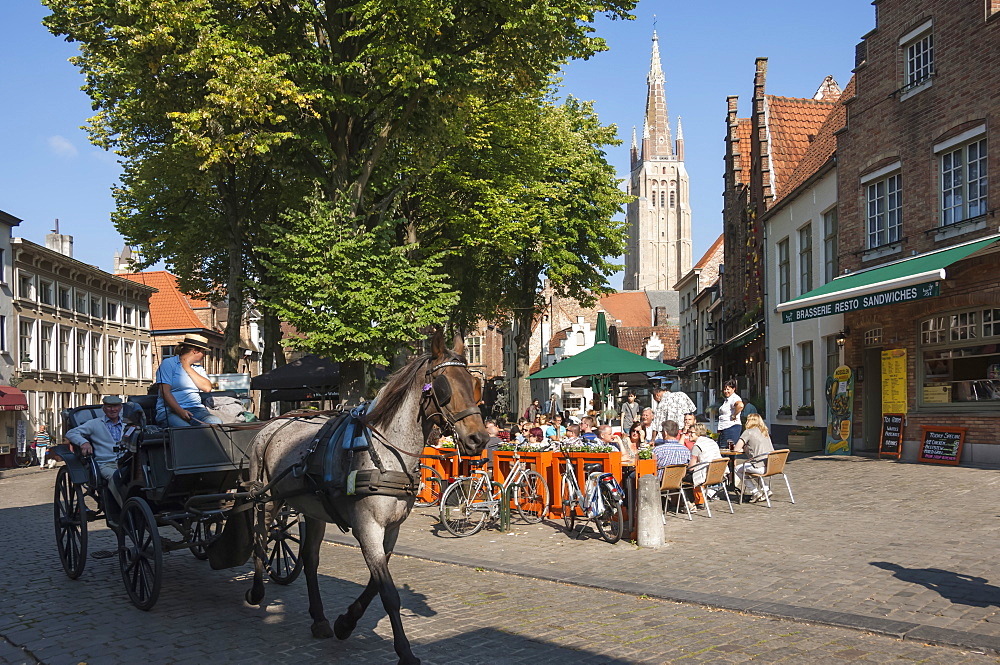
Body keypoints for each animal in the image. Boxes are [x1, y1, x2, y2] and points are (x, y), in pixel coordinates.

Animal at [246, 332, 488, 664]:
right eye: (445, 386)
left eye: (473, 383)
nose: (479, 438)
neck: (388, 453)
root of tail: (272, 424)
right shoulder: (367, 526)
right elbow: (388, 592)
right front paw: (404, 651)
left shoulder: (391, 529)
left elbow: (376, 582)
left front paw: (345, 623)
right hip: (268, 500)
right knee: (260, 540)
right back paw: (257, 592)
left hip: (313, 509)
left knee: (310, 558)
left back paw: (319, 619)